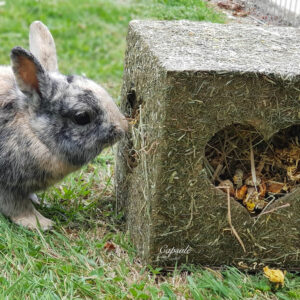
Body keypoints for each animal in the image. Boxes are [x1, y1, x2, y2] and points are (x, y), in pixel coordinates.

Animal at [0, 21, 127, 230]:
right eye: (81, 117)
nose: (123, 128)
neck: (34, 132)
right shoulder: (8, 186)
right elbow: (17, 208)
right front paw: (41, 223)